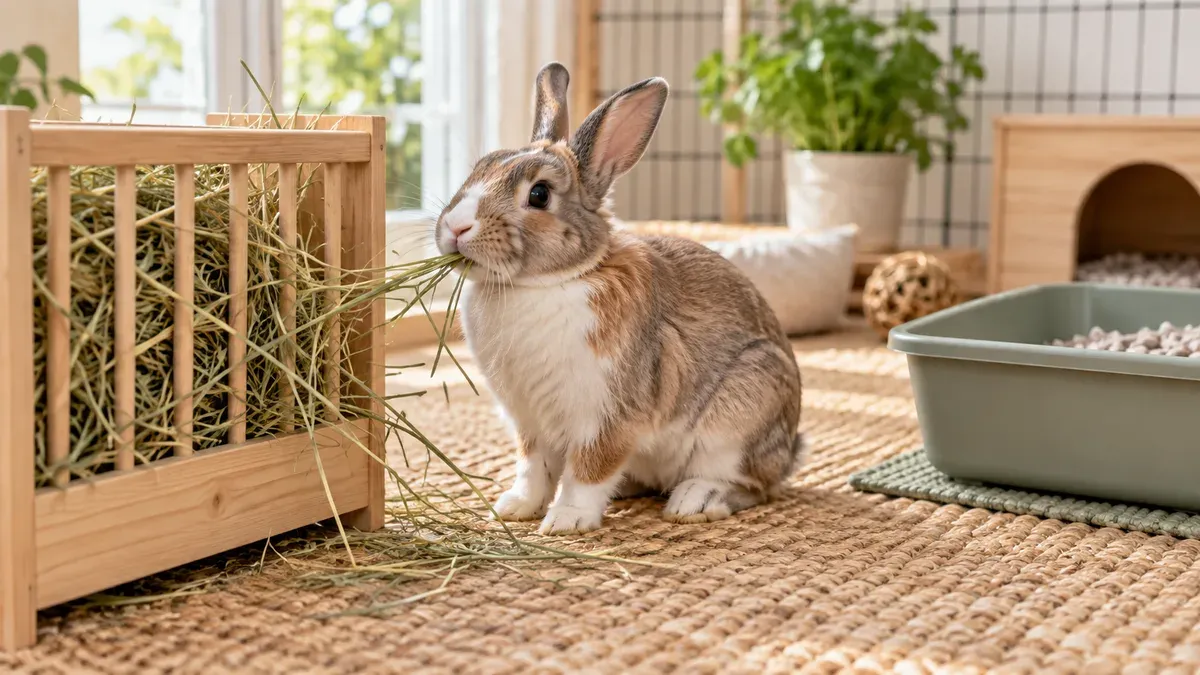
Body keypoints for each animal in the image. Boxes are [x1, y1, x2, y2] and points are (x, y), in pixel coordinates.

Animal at [434, 62, 804, 535]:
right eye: (480, 167)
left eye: (539, 194)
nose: (456, 227)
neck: (546, 282)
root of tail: (789, 452)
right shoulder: (530, 423)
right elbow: (534, 469)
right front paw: (513, 508)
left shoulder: (607, 417)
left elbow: (588, 471)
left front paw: (566, 521)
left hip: (738, 419)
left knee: (750, 486)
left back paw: (694, 502)